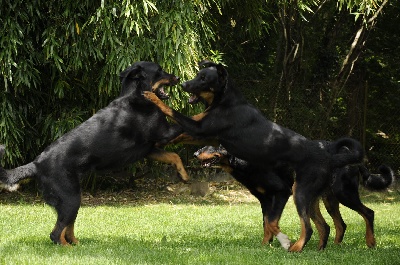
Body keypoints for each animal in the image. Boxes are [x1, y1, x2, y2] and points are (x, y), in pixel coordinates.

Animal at [0, 60, 190, 244]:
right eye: (159, 70)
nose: (178, 77)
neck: (136, 95)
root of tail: (36, 164)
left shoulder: (149, 149)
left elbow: (174, 155)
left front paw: (183, 174)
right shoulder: (164, 134)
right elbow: (186, 123)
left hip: (73, 199)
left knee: (67, 229)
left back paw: (78, 244)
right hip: (70, 198)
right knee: (56, 234)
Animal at [145, 60, 366, 252]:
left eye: (203, 78)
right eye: (198, 75)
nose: (183, 84)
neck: (226, 102)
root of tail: (329, 158)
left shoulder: (200, 128)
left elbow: (173, 112)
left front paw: (151, 97)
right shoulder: (204, 132)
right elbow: (178, 132)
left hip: (301, 192)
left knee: (309, 226)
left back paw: (295, 248)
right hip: (313, 196)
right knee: (322, 226)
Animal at [194, 144, 394, 250]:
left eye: (211, 145)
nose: (195, 153)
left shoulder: (281, 193)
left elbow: (272, 222)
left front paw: (282, 241)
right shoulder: (265, 200)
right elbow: (267, 224)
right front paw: (266, 244)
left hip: (338, 193)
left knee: (368, 213)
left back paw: (370, 242)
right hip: (322, 200)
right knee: (335, 225)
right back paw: (325, 249)